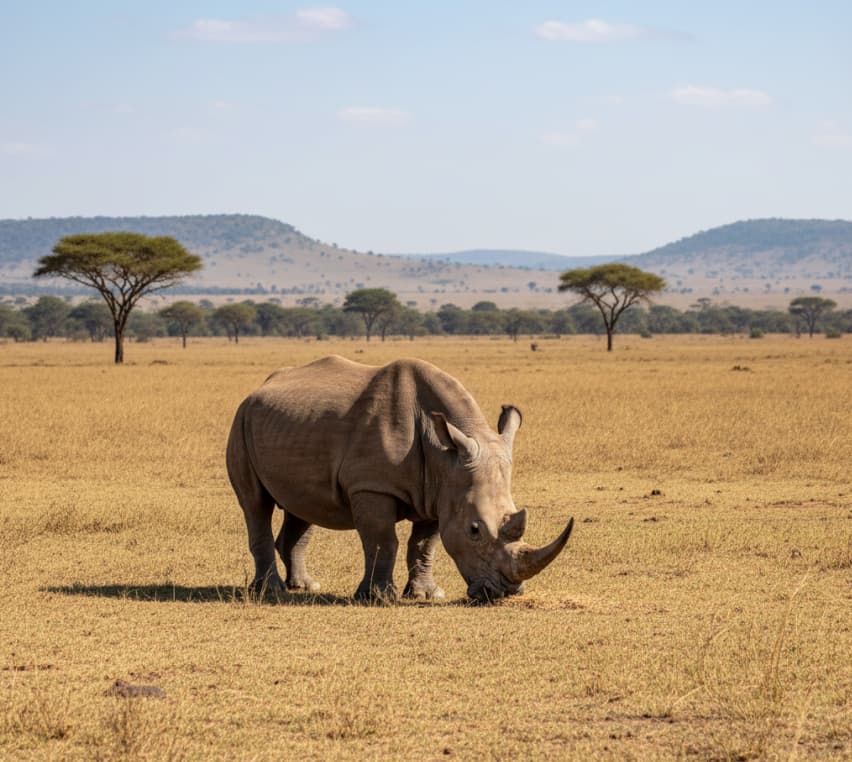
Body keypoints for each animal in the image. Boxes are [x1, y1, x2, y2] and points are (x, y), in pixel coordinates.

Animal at [226, 355, 573, 602]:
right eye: (475, 530)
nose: (504, 592)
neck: (445, 456)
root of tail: (258, 388)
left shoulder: (440, 491)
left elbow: (424, 544)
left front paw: (427, 594)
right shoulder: (372, 486)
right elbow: (383, 540)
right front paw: (378, 597)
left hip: (291, 427)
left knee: (304, 506)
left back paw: (305, 586)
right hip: (240, 421)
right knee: (255, 505)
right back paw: (271, 591)